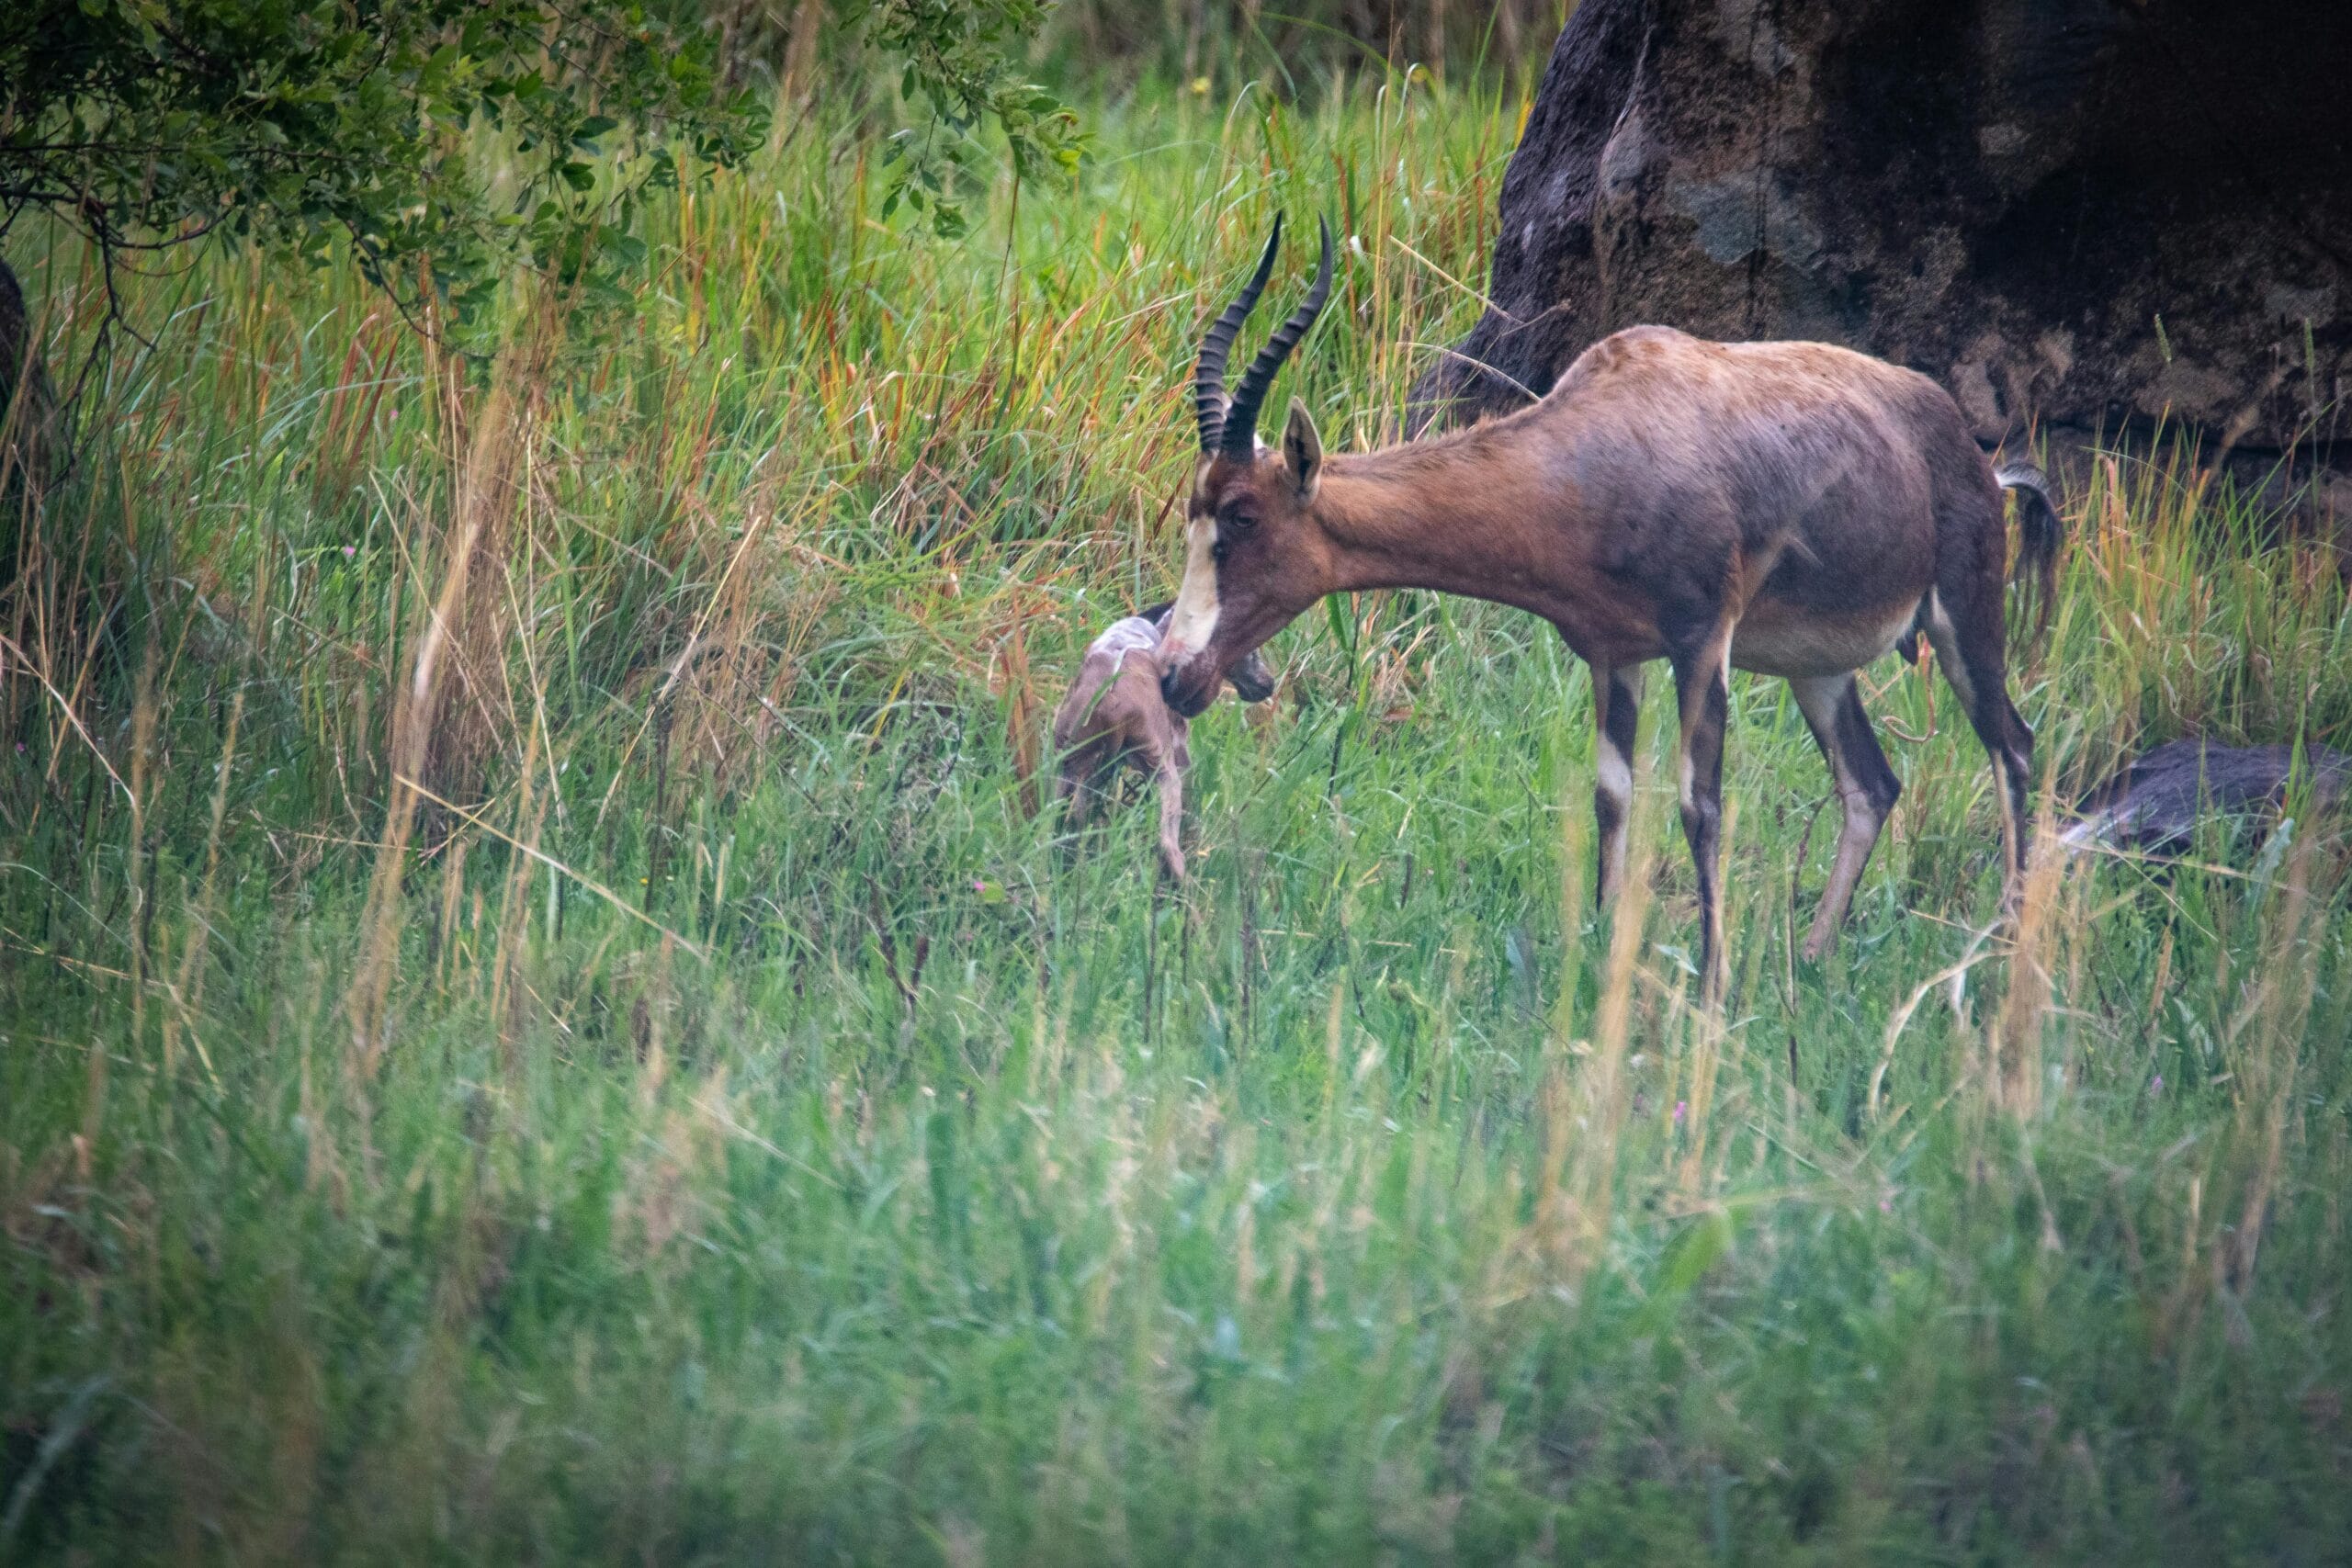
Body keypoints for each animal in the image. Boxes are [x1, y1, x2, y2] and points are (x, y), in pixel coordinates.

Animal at [1053, 597, 1270, 879]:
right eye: (1253, 649)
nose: (1269, 684)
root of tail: (1111, 701)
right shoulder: (1179, 749)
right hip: (1162, 768)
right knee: (1169, 847)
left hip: (1068, 761)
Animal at [1157, 216, 2060, 1001]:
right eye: (1193, 513)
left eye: (1242, 517)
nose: (1174, 675)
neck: (1605, 439)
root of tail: (1975, 458)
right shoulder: (1613, 657)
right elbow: (1612, 796)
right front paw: (1598, 946)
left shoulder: (1702, 643)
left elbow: (1700, 804)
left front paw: (1713, 984)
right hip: (1820, 669)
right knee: (1872, 785)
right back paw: (1810, 957)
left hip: (1962, 620)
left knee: (2014, 747)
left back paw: (2002, 954)